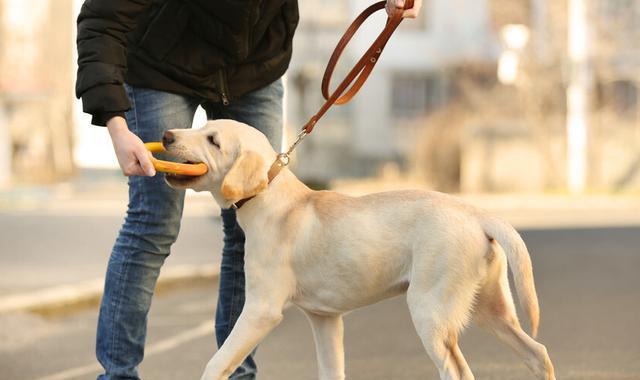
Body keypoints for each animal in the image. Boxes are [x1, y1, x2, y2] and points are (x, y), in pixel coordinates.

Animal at [161, 120, 556, 380]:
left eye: (212, 139)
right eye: (203, 126)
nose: (166, 136)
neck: (272, 197)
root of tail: (477, 213)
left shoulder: (261, 310)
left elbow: (216, 361)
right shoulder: (324, 319)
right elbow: (331, 371)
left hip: (431, 311)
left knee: (459, 371)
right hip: (490, 309)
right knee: (538, 353)